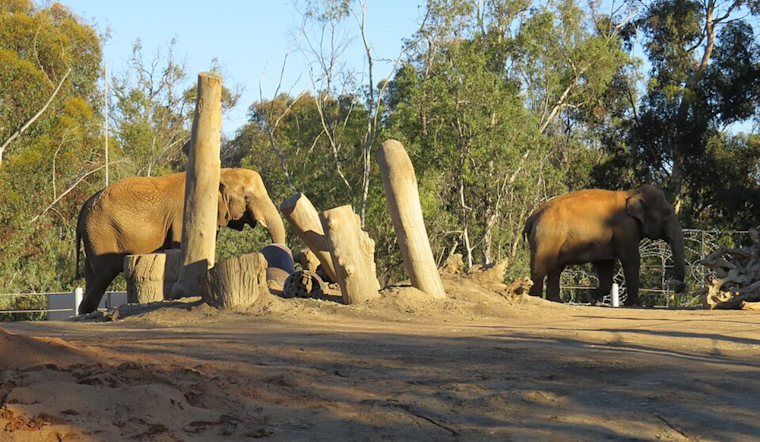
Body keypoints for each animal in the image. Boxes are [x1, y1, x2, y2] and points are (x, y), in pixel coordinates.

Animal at [75, 168, 287, 314]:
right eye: (248, 198)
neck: (220, 171)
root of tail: (84, 205)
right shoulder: (182, 218)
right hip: (102, 233)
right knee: (105, 274)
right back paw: (88, 312)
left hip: (93, 236)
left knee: (93, 275)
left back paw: (86, 312)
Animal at [522, 184, 686, 306]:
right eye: (666, 213)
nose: (678, 288)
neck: (632, 193)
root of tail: (532, 217)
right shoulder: (625, 228)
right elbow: (631, 259)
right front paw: (635, 304)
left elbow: (605, 264)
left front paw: (590, 296)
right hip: (546, 238)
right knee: (540, 269)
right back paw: (536, 299)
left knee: (556, 269)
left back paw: (556, 301)